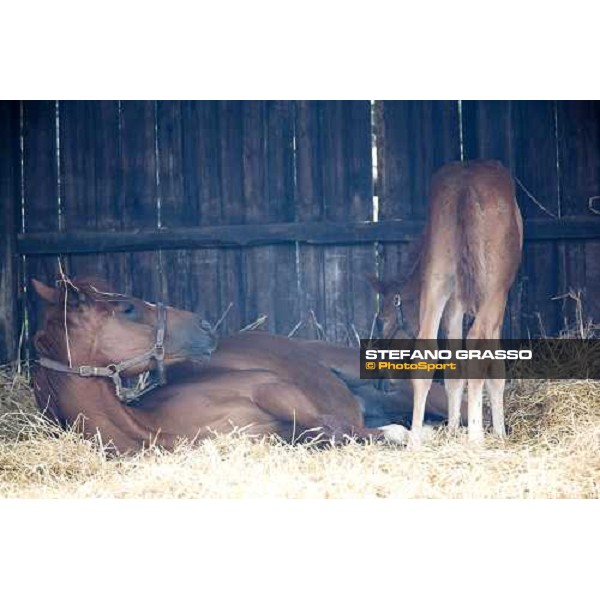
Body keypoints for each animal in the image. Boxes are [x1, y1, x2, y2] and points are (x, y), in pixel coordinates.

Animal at [30, 278, 448, 452]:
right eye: (128, 308)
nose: (204, 324)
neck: (152, 428)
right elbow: (329, 434)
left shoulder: (271, 387)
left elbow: (340, 428)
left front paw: (410, 435)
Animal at [368, 162, 524, 442]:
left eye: (382, 320)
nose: (379, 381)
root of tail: (466, 185)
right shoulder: (498, 301)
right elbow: (495, 369)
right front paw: (499, 433)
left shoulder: (454, 303)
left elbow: (453, 365)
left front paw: (452, 429)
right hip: (493, 289)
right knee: (476, 341)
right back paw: (475, 438)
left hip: (438, 278)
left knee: (425, 351)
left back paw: (415, 441)